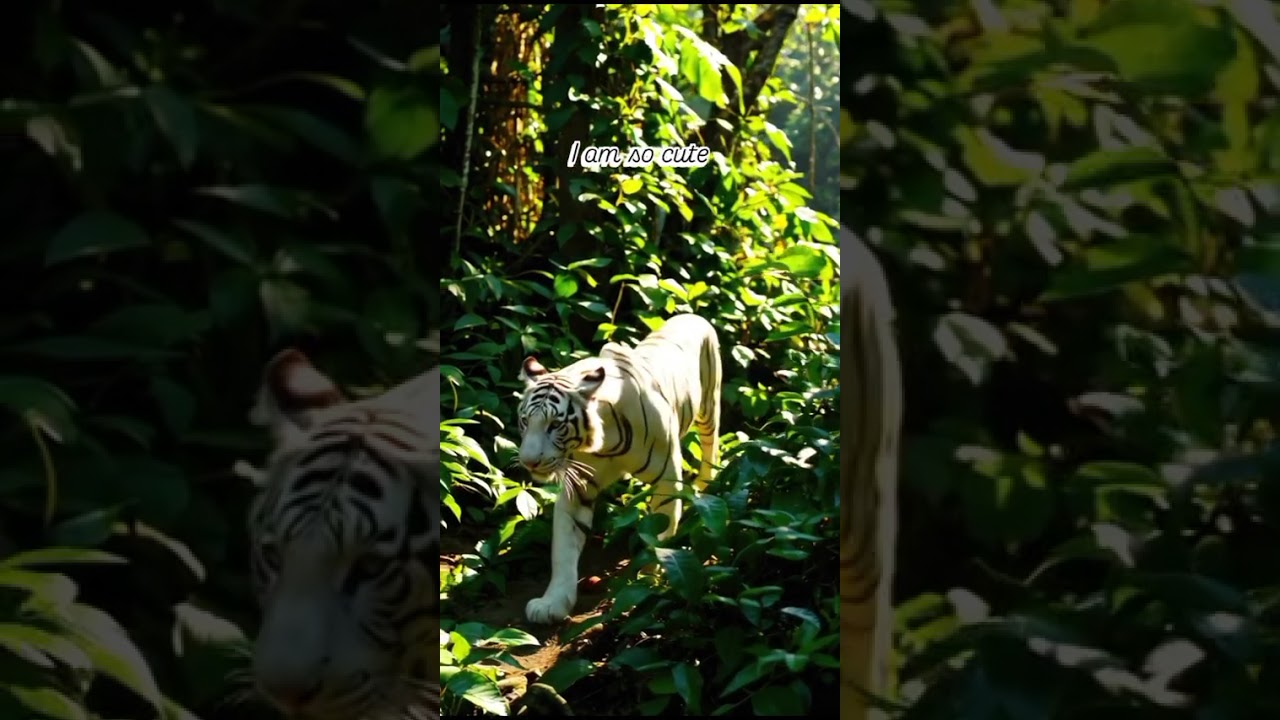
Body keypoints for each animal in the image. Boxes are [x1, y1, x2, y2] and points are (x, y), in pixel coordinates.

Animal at [515, 313, 722, 624]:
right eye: (526, 421)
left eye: (555, 425)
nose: (529, 462)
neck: (604, 443)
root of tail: (691, 315)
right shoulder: (578, 487)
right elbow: (563, 549)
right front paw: (552, 603)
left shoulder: (666, 481)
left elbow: (659, 537)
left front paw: (648, 583)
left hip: (710, 404)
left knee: (711, 443)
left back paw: (706, 485)